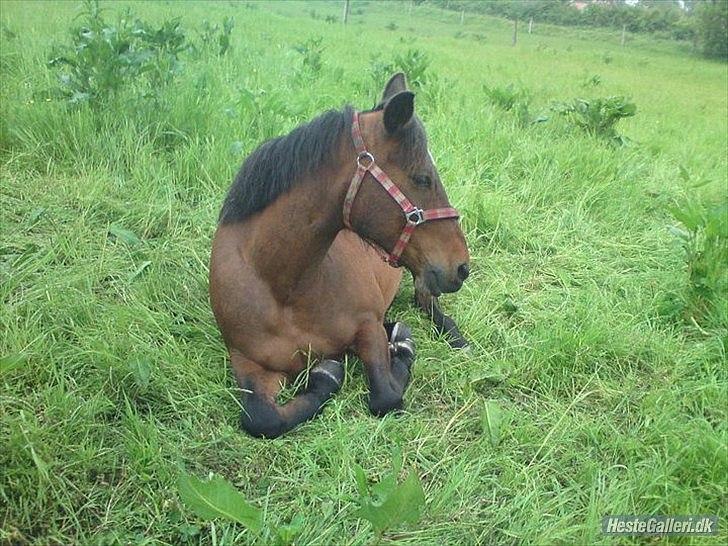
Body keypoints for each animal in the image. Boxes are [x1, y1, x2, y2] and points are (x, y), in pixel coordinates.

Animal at [209, 73, 472, 438]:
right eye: (422, 178)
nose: (461, 265)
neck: (282, 289)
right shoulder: (247, 361)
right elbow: (262, 418)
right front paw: (326, 376)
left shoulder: (368, 327)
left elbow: (386, 396)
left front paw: (402, 348)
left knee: (426, 300)